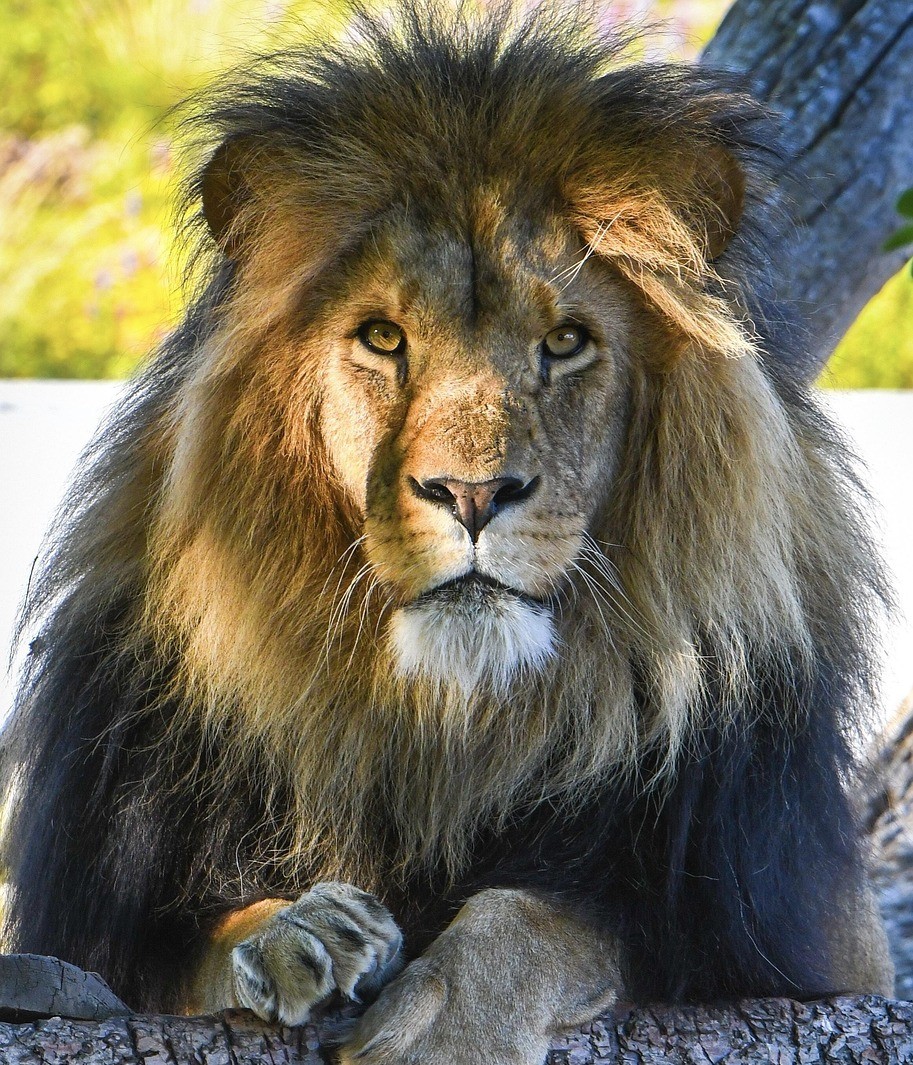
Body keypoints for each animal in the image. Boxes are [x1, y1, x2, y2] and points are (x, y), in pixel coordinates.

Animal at [1, 5, 895, 1062]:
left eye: (565, 342)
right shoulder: (109, 937)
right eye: (383, 338)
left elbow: (546, 918)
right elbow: (196, 945)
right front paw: (298, 934)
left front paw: (451, 1023)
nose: (471, 494)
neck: (444, 722)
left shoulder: (750, 948)